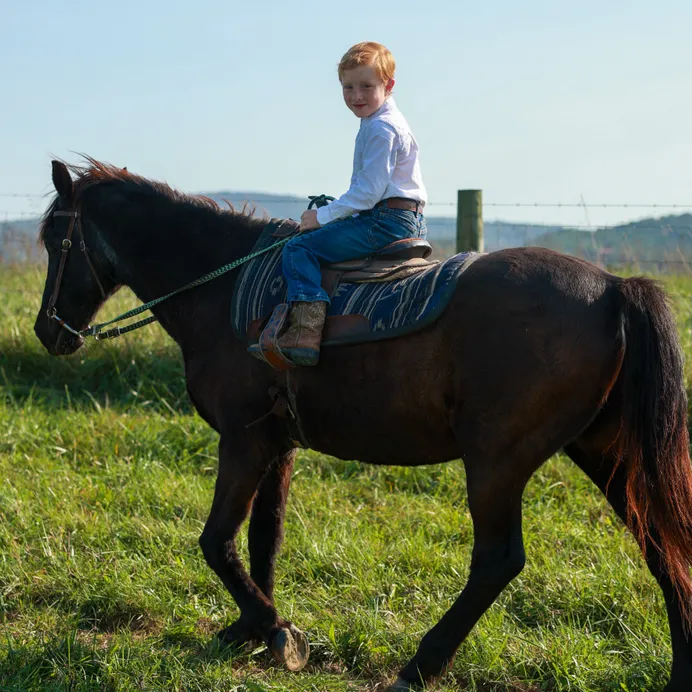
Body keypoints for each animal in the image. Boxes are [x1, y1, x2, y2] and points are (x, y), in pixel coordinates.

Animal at [33, 159, 692, 688]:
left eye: (55, 240)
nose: (49, 332)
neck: (222, 289)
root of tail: (613, 288)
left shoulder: (242, 439)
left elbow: (216, 541)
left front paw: (275, 629)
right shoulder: (277, 444)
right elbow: (264, 537)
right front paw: (252, 629)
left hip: (497, 460)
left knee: (498, 561)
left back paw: (420, 666)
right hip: (606, 451)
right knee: (661, 541)